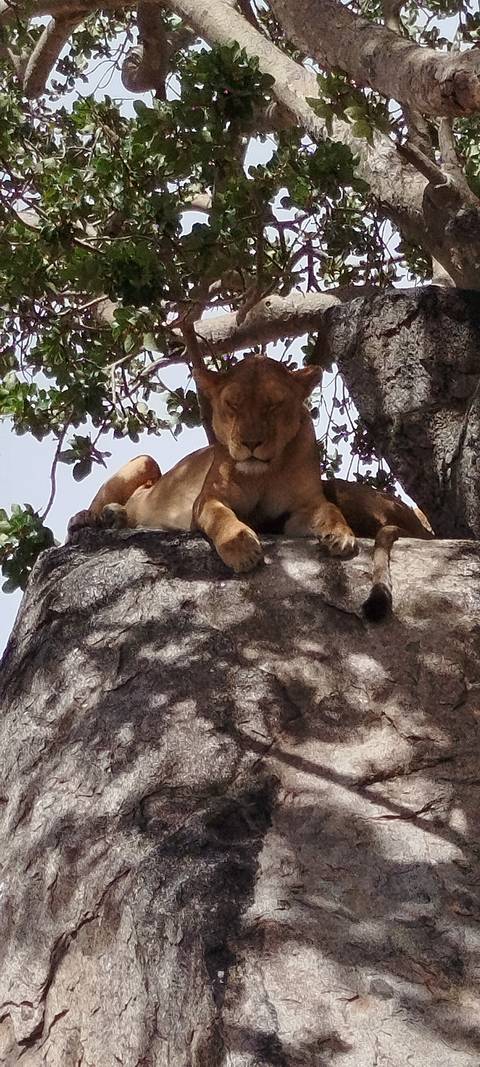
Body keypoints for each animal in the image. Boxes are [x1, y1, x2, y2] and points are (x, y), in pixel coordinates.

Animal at [68, 355, 433, 620]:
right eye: (233, 404)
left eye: (273, 404)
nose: (251, 442)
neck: (263, 474)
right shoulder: (208, 499)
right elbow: (222, 518)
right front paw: (241, 547)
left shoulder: (299, 511)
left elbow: (329, 510)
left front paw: (340, 535)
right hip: (145, 460)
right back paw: (94, 517)